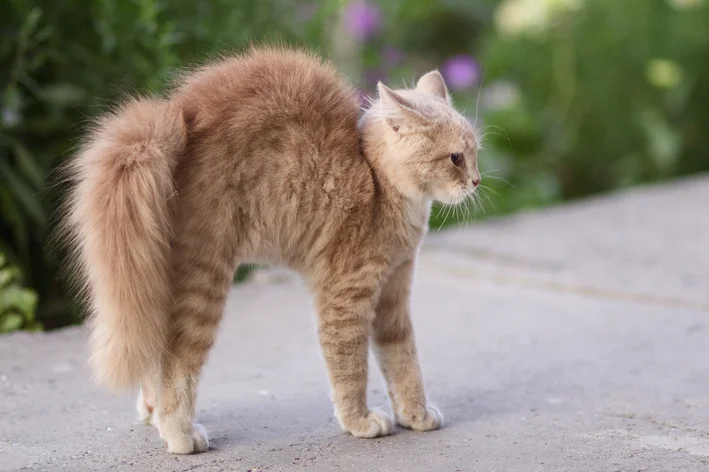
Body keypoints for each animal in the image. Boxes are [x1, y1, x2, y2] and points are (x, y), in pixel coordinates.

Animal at [63, 47, 482, 454]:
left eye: (475, 151)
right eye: (455, 158)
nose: (477, 181)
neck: (378, 181)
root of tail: (176, 114)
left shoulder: (394, 293)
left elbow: (403, 359)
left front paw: (415, 414)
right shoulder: (345, 299)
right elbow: (350, 368)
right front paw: (361, 421)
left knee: (155, 352)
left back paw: (152, 413)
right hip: (204, 283)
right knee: (177, 361)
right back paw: (178, 434)